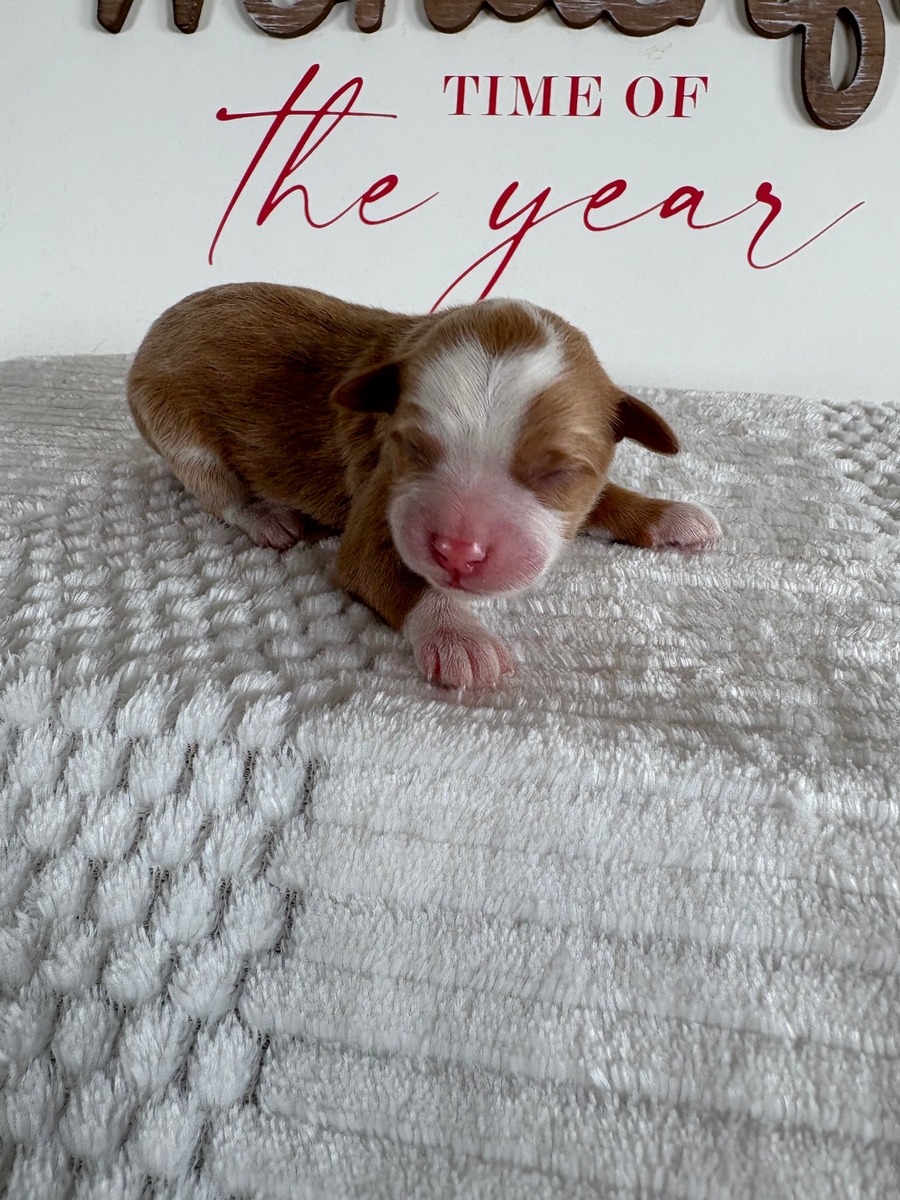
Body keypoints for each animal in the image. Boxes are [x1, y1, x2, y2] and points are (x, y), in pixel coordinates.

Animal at [127, 283, 720, 688]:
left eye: (558, 473)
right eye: (413, 447)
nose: (458, 551)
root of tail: (162, 322)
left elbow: (605, 495)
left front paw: (667, 514)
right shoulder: (377, 503)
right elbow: (399, 575)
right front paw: (460, 637)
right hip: (173, 425)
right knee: (216, 490)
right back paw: (265, 517)